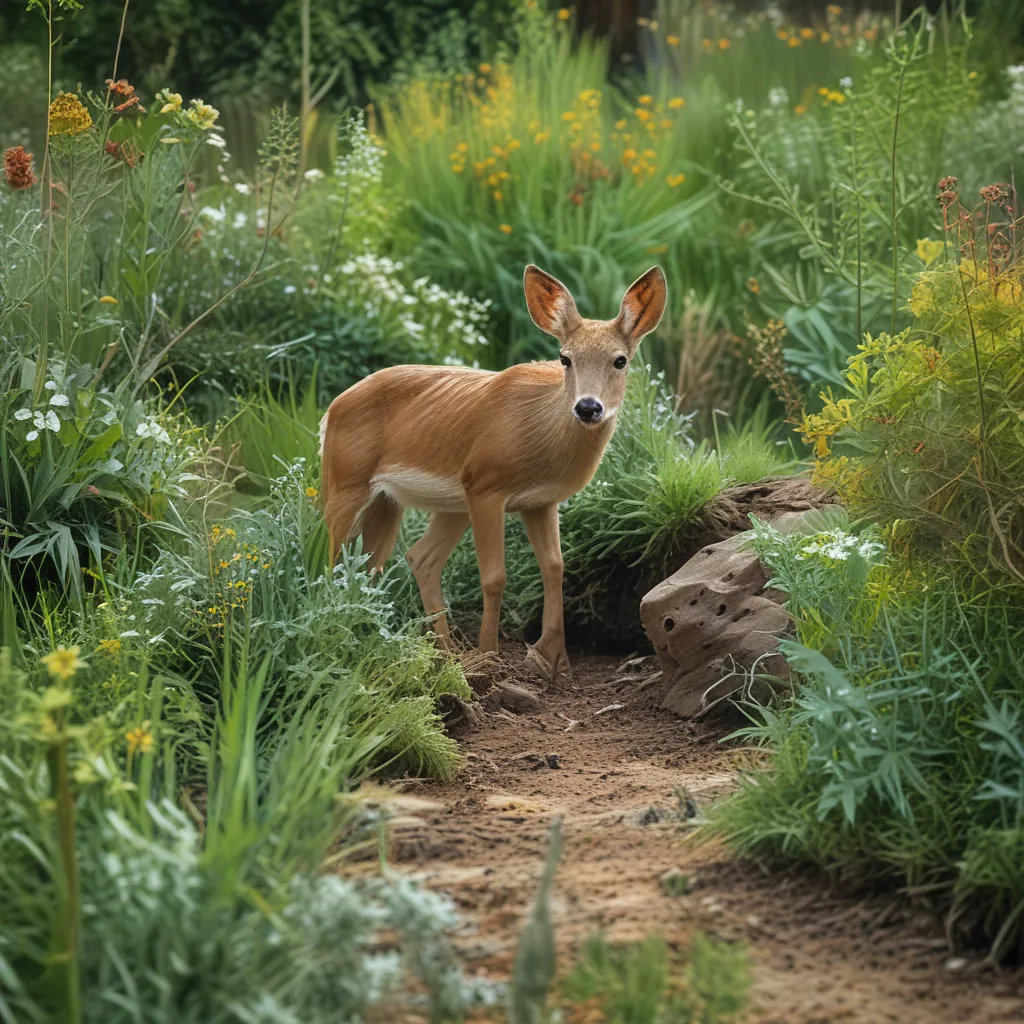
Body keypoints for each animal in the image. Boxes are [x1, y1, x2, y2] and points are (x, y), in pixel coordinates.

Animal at [321, 264, 671, 684]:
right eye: (564, 358)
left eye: (620, 360)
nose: (588, 407)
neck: (543, 439)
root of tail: (331, 410)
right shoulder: (487, 486)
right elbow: (495, 577)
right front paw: (490, 657)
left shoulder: (540, 501)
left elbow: (555, 567)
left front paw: (554, 661)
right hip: (346, 482)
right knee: (331, 559)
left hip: (418, 505)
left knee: (408, 559)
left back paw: (440, 652)